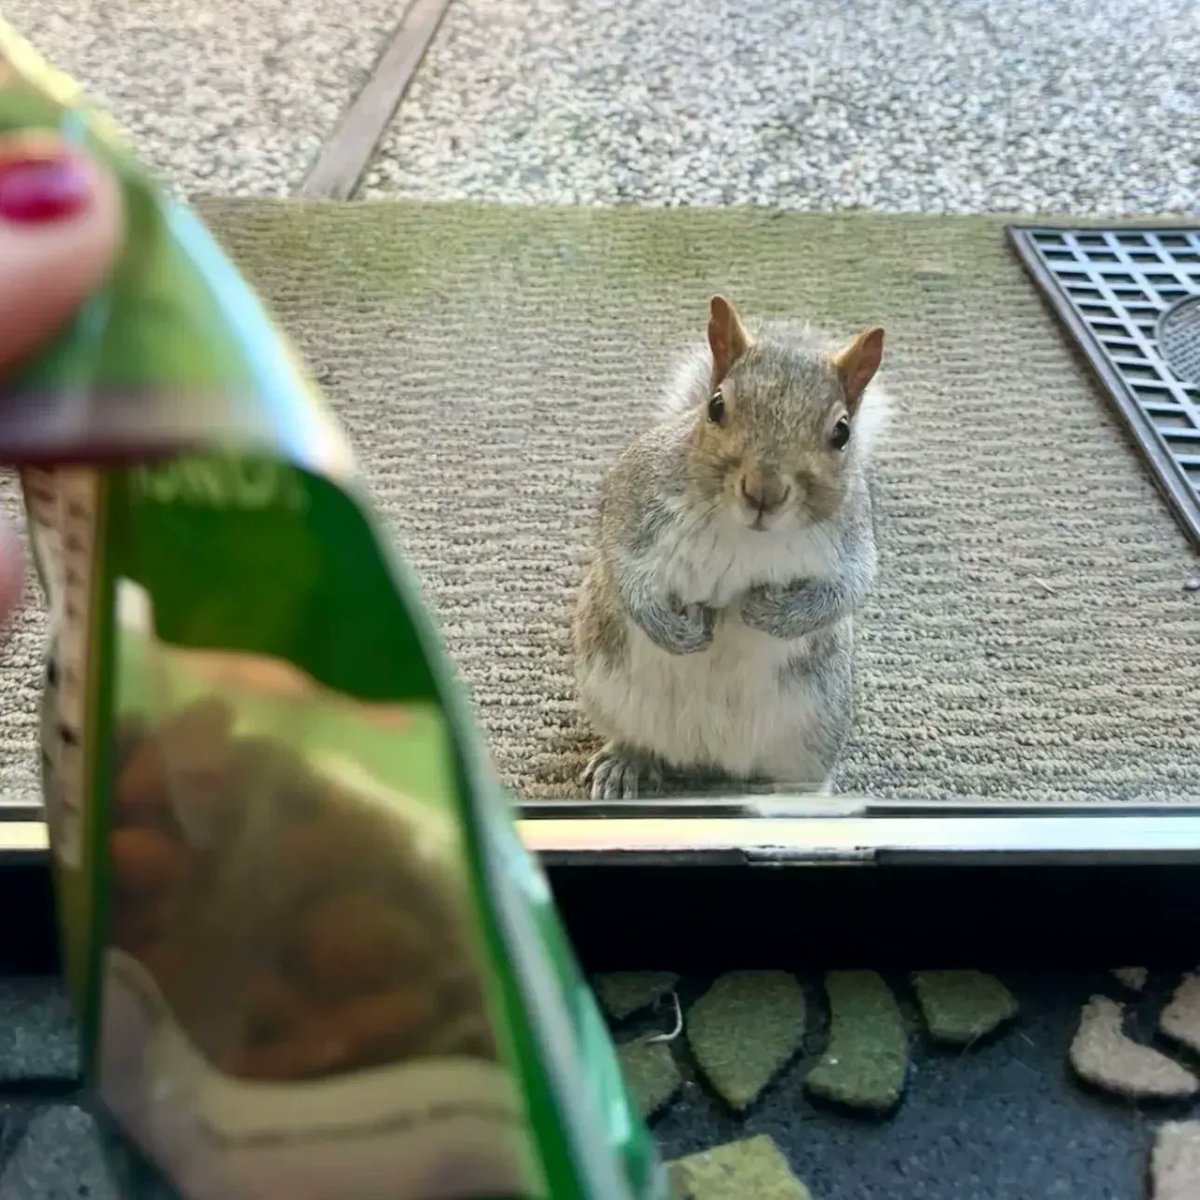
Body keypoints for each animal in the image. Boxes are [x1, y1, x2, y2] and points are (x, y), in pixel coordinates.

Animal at [572, 295, 888, 800]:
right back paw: (626, 761)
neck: (747, 533)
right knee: (635, 738)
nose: (764, 492)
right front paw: (671, 629)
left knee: (803, 776)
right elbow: (621, 562)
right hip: (605, 688)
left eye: (842, 432)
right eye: (716, 406)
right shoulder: (634, 496)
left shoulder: (851, 538)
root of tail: (706, 756)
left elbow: (849, 588)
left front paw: (774, 614)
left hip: (817, 724)